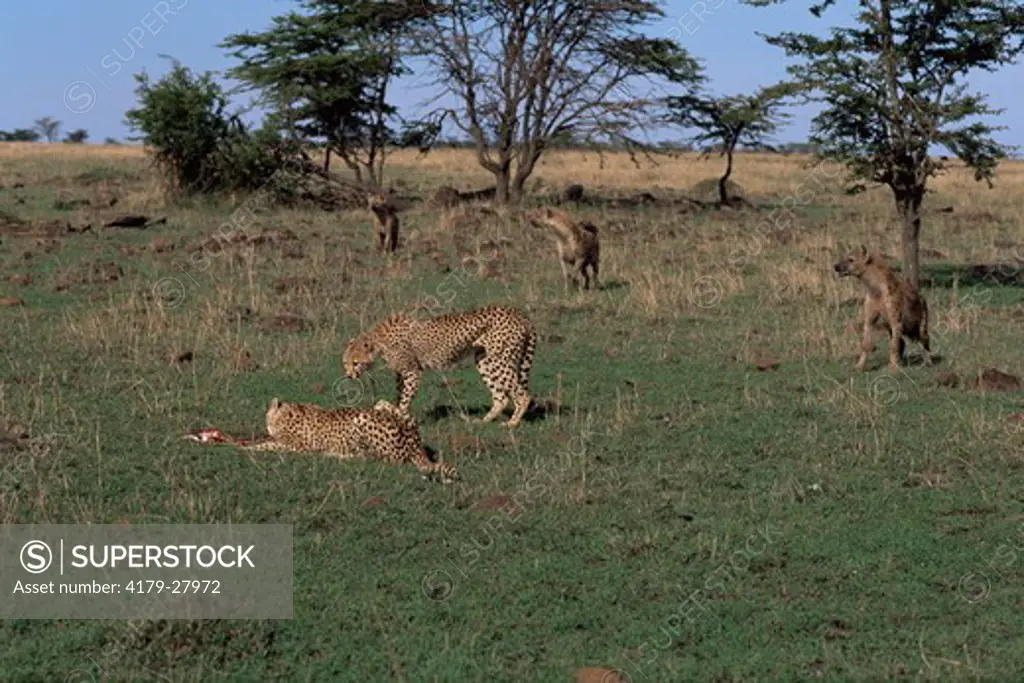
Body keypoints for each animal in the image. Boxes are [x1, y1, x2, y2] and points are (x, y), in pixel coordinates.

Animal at [240, 397, 456, 483]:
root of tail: (415, 444)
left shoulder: (295, 446)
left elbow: (267, 445)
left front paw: (243, 447)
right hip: (381, 406)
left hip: (363, 419)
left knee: (375, 457)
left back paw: (339, 455)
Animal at [342, 305, 536, 428]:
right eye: (345, 363)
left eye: (356, 363)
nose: (348, 375)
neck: (379, 342)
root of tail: (518, 313)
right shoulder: (400, 375)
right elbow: (400, 395)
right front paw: (392, 412)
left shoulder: (412, 372)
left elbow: (404, 400)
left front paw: (399, 414)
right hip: (485, 360)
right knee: (501, 397)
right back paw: (483, 421)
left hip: (498, 360)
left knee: (522, 394)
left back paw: (512, 423)